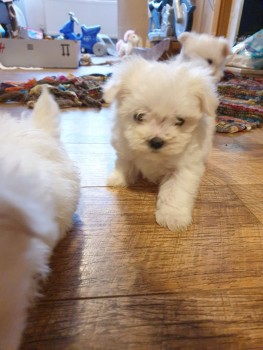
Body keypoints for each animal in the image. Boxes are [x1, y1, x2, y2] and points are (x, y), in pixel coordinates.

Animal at [104, 56, 220, 232]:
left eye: (180, 121)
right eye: (139, 116)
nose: (156, 141)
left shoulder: (185, 167)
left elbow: (175, 191)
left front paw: (173, 216)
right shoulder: (125, 149)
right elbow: (125, 163)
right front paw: (119, 178)